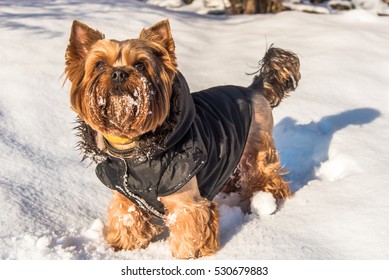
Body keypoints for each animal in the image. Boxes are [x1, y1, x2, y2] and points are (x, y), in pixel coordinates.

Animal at [63, 19, 300, 260]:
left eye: (140, 65)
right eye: (99, 64)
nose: (119, 74)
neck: (135, 151)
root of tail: (254, 90)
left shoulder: (185, 198)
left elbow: (190, 230)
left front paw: (190, 257)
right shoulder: (125, 197)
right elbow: (127, 220)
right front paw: (122, 249)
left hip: (256, 147)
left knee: (264, 173)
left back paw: (269, 199)